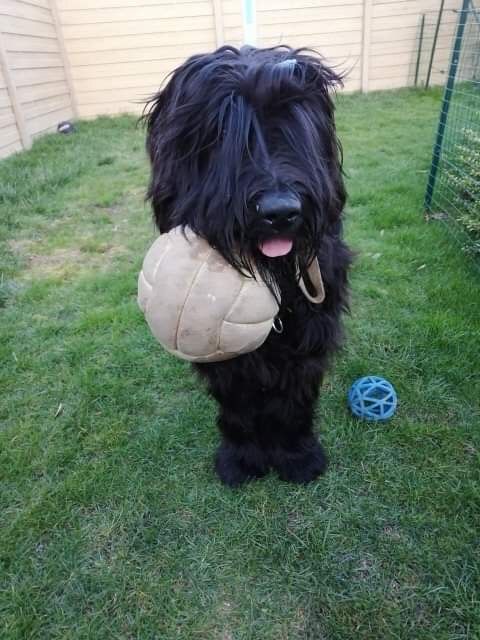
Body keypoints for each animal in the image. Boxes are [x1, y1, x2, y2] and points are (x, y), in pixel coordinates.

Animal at [143, 45, 351, 486]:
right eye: (221, 131)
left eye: (295, 121)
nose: (280, 212)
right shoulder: (221, 355)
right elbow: (236, 402)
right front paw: (241, 457)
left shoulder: (312, 328)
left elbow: (296, 395)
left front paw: (297, 454)